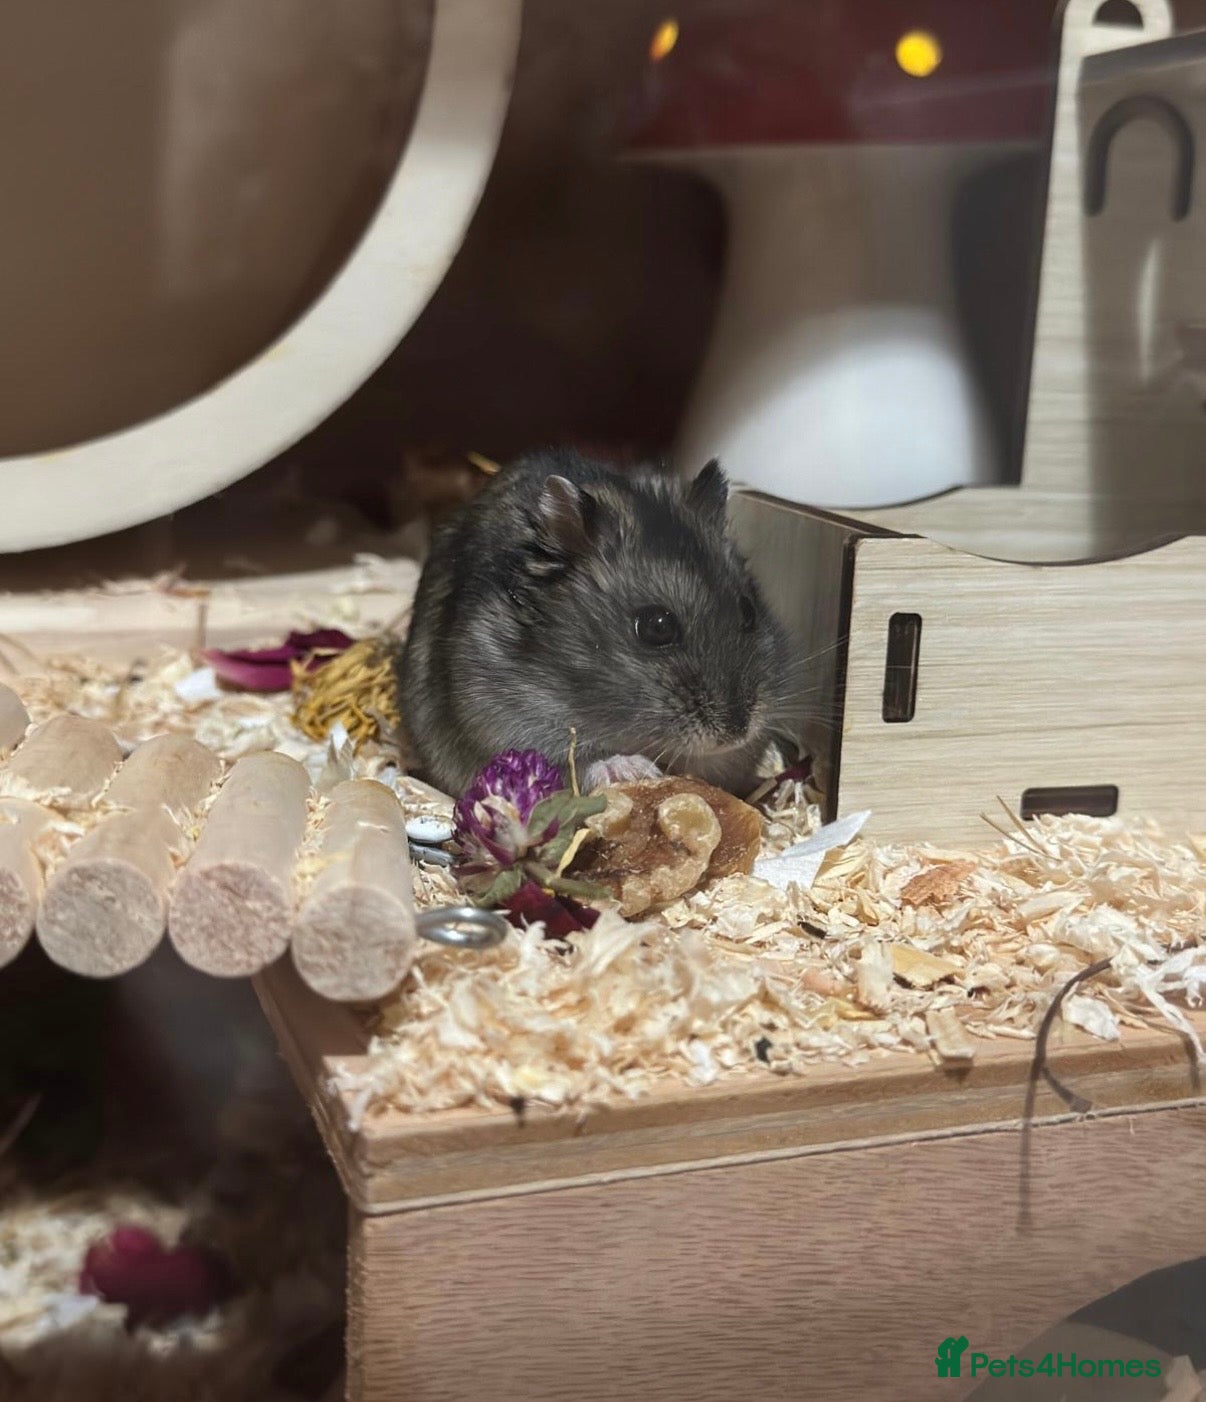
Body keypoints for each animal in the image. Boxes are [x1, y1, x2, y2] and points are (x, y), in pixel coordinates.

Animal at [398, 448, 790, 798]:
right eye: (656, 626)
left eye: (748, 611)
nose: (736, 732)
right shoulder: (505, 724)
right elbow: (577, 762)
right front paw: (633, 769)